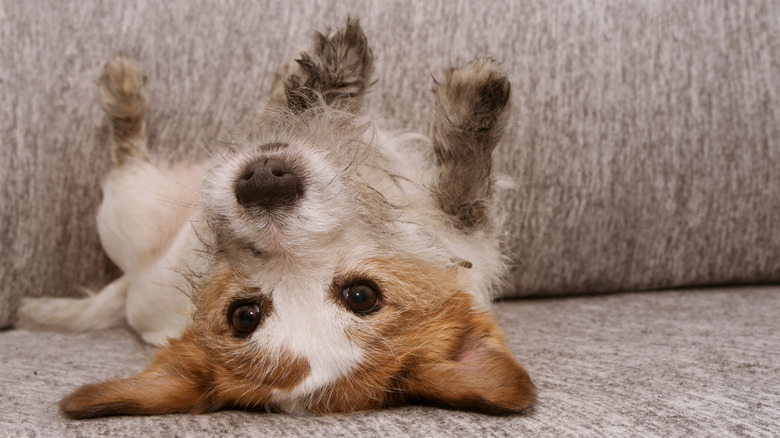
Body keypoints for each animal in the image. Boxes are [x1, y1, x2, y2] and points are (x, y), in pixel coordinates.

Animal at [21, 18, 540, 418]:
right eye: (244, 315)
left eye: (361, 295)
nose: (264, 183)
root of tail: (130, 291)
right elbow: (466, 192)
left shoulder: (467, 245)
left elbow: (464, 197)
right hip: (134, 206)